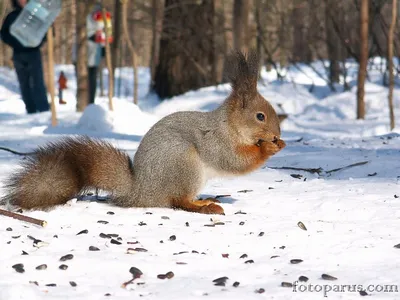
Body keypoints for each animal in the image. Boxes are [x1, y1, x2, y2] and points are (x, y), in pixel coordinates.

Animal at [1, 51, 286, 216]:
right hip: (183, 164)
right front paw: (268, 147)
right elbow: (234, 161)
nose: (276, 133)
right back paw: (203, 206)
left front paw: (279, 144)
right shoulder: (216, 141)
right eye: (260, 116)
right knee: (177, 200)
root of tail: (140, 191)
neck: (230, 125)